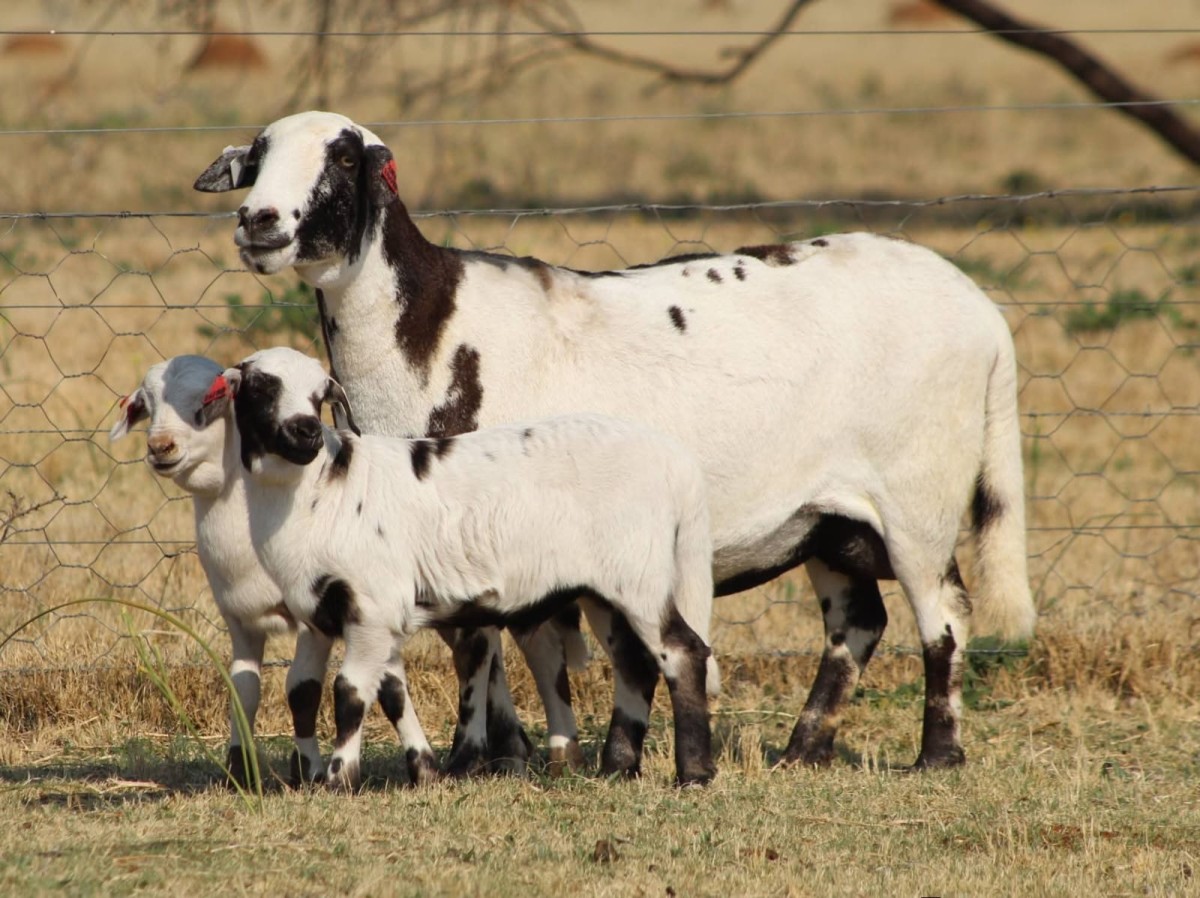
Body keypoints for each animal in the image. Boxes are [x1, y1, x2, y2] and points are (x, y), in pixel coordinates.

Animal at [109, 355, 439, 788]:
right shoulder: (238, 617)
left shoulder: (320, 615)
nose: (160, 447)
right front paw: (240, 770)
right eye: (146, 405)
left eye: (209, 402)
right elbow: (243, 689)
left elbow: (305, 689)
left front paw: (309, 770)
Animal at [205, 345, 718, 790]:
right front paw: (392, 773)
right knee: (635, 663)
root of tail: (678, 464)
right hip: (607, 586)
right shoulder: (328, 613)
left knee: (682, 652)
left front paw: (338, 780)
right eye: (261, 388)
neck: (321, 492)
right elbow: (318, 691)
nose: (306, 431)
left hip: (639, 574)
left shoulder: (371, 604)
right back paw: (618, 767)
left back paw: (693, 772)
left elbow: (349, 692)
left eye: (319, 395)